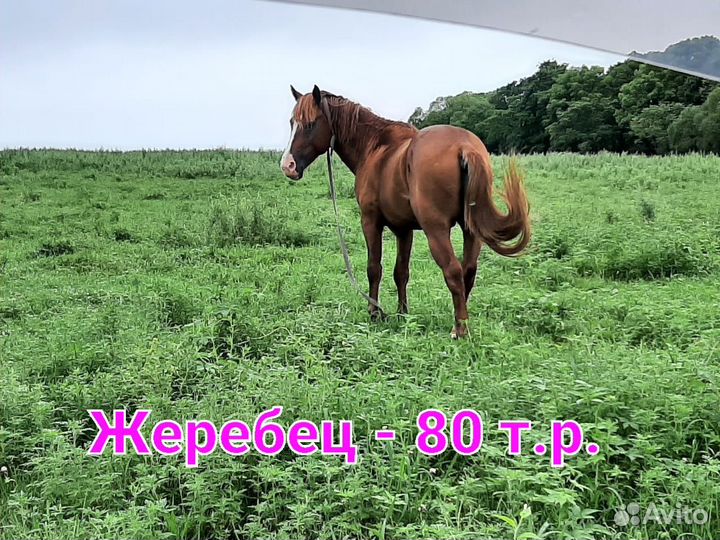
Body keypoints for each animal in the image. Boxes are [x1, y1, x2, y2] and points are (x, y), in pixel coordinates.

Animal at [280, 85, 531, 338]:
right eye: (292, 122)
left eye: (310, 123)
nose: (287, 166)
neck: (375, 148)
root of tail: (465, 147)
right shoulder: (404, 230)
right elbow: (401, 272)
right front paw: (403, 314)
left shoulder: (370, 221)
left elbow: (374, 268)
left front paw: (374, 313)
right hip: (471, 229)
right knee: (468, 271)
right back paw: (460, 323)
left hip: (436, 230)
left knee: (453, 271)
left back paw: (459, 331)